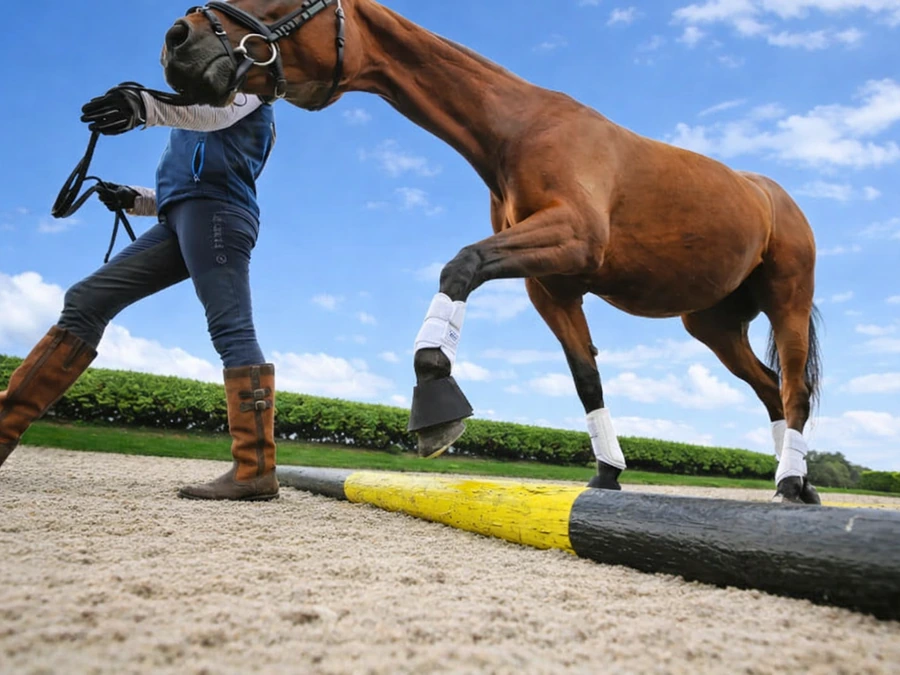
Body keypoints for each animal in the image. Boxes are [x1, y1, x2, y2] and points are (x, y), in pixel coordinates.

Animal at [159, 0, 823, 504]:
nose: (178, 39)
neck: (519, 129)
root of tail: (774, 196)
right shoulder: (552, 286)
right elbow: (587, 379)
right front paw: (606, 473)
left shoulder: (570, 236)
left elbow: (461, 265)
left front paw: (434, 390)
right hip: (712, 324)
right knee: (769, 389)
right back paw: (797, 482)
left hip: (787, 302)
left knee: (794, 390)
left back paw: (792, 483)